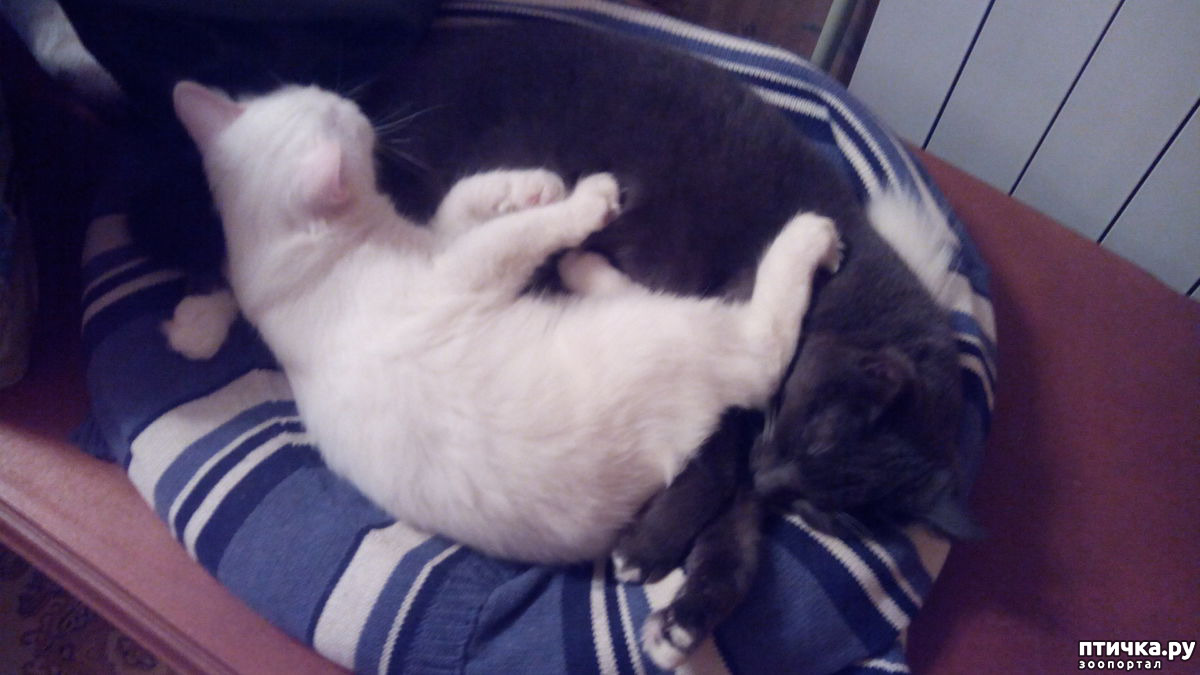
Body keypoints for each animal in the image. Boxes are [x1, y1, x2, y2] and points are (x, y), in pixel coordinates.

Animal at [169, 81, 843, 566]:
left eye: (317, 95)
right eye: (341, 120)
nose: (354, 104)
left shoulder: (443, 242)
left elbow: (468, 199)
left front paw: (533, 184)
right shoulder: (464, 271)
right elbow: (515, 236)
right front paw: (581, 201)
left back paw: (582, 268)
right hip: (680, 333)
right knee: (762, 351)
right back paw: (809, 237)